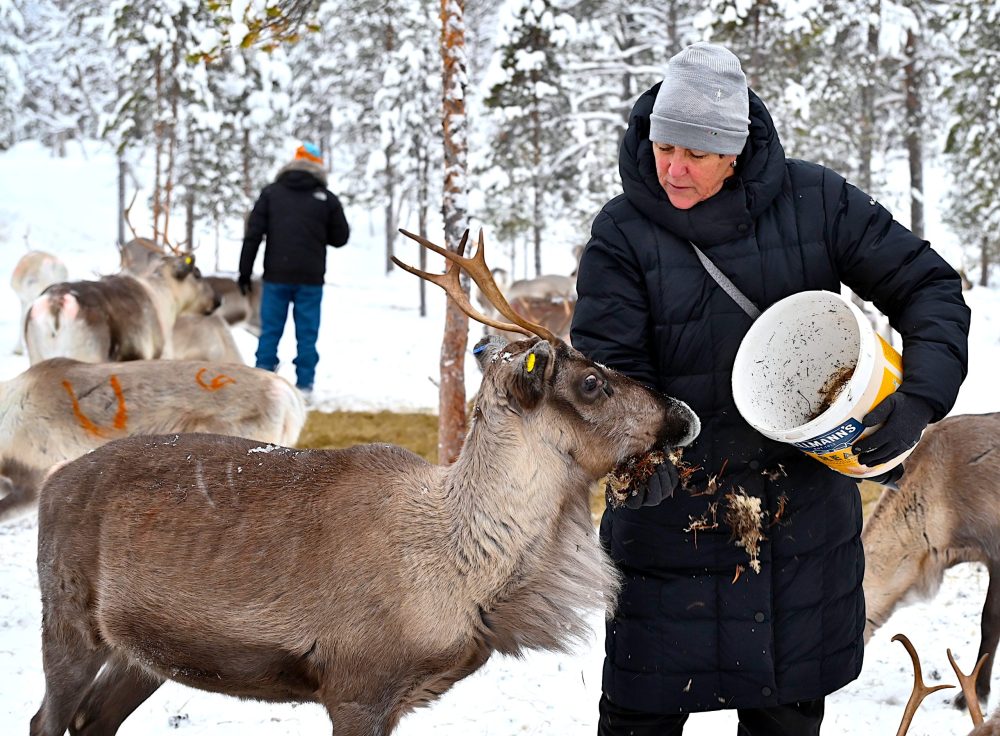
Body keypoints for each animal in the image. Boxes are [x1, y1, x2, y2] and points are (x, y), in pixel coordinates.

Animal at [24, 253, 219, 365]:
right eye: (197, 274)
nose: (217, 300)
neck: (165, 298)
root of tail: (56, 303)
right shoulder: (154, 354)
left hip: (36, 357)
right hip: (85, 355)